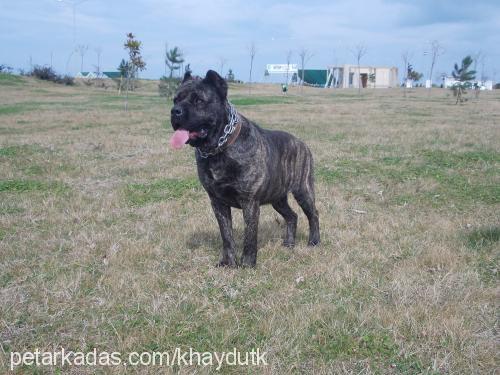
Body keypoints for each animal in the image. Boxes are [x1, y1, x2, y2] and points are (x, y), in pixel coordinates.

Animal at [172, 70, 320, 268]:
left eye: (198, 101)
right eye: (175, 100)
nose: (175, 111)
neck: (219, 148)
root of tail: (302, 143)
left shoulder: (249, 201)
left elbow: (250, 235)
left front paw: (248, 263)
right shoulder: (217, 203)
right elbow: (226, 235)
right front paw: (227, 262)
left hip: (303, 190)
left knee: (313, 214)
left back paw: (314, 241)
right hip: (277, 198)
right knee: (292, 216)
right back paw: (289, 243)